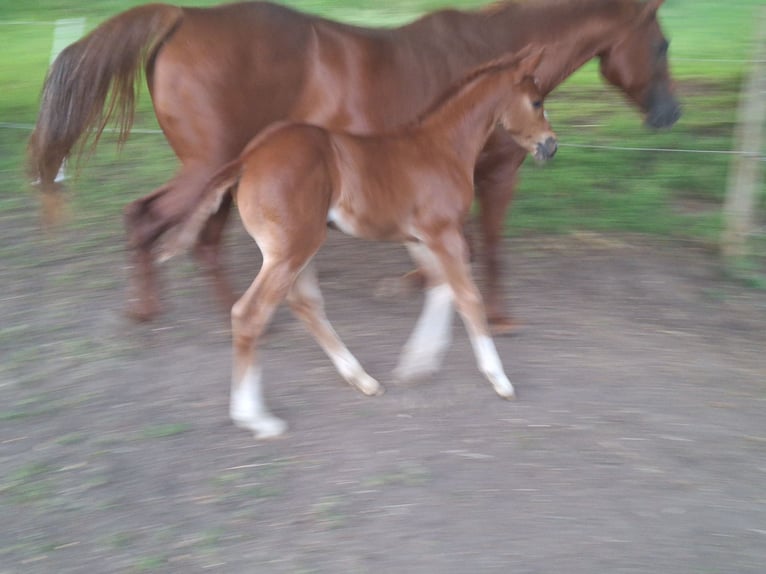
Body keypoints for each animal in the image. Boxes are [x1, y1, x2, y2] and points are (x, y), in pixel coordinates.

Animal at [28, 0, 680, 334]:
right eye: (663, 43)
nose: (671, 113)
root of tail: (183, 17)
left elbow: (455, 245)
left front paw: (419, 281)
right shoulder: (497, 174)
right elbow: (489, 244)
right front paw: (496, 315)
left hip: (223, 172)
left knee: (201, 238)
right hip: (208, 166)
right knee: (147, 219)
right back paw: (150, 310)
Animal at [158, 49, 557, 438]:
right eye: (537, 101)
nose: (551, 145)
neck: (442, 146)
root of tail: (247, 158)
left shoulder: (419, 238)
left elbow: (440, 287)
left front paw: (415, 366)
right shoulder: (444, 233)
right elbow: (468, 297)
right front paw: (499, 380)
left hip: (298, 247)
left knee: (305, 304)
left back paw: (362, 379)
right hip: (293, 248)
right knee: (250, 314)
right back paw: (257, 419)